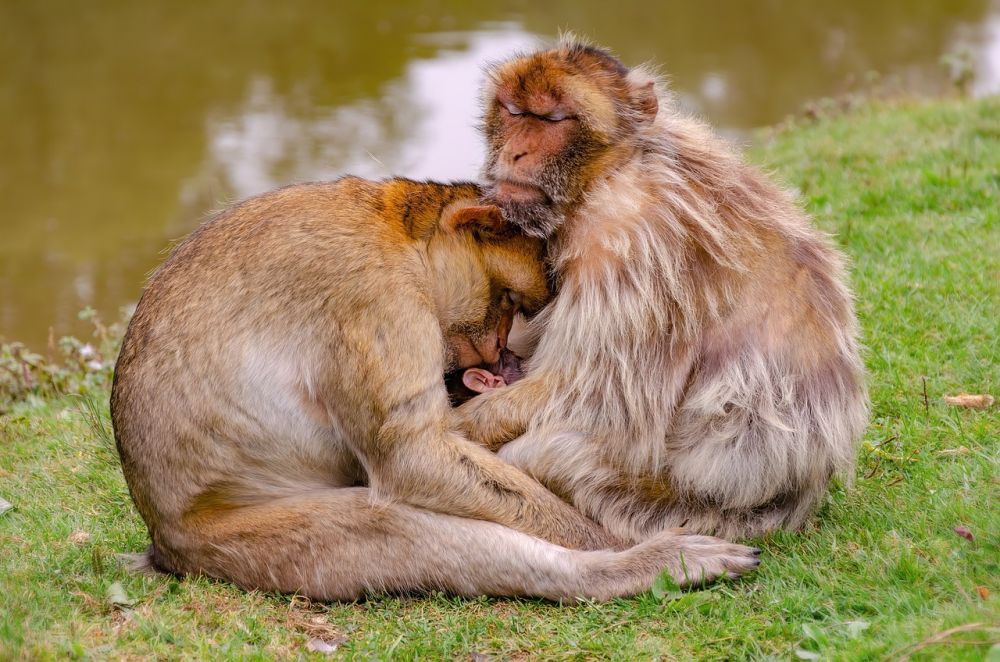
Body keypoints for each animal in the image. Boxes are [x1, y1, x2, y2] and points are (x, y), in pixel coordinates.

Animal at [111, 179, 756, 604]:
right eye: (508, 301)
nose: (496, 354)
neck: (396, 230)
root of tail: (163, 537)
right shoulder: (375, 295)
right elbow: (410, 455)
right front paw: (610, 538)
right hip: (231, 543)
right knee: (389, 524)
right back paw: (631, 569)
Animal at [454, 41, 868, 548]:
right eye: (513, 112)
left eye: (552, 119)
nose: (516, 152)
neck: (609, 174)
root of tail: (803, 491)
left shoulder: (630, 240)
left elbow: (597, 393)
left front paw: (459, 422)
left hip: (676, 504)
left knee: (556, 450)